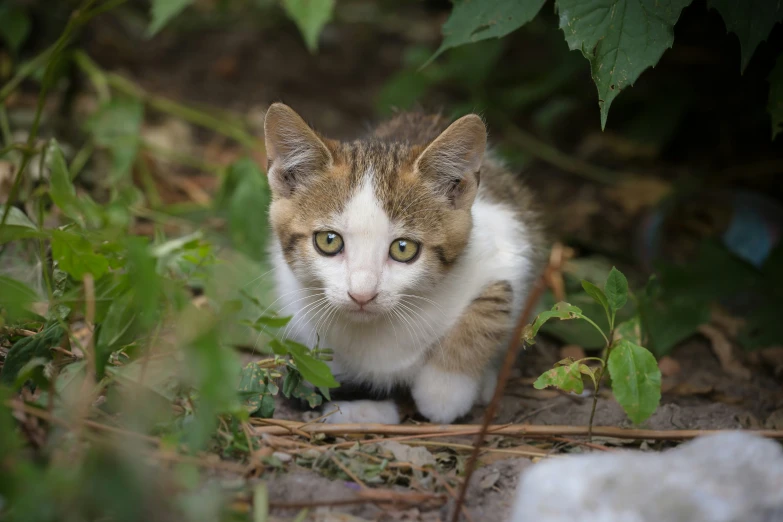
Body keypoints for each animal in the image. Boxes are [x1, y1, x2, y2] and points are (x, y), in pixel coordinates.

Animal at [264, 104, 544, 422]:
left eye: (403, 248)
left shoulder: (508, 251)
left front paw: (445, 389)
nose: (362, 294)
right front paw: (362, 404)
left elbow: (491, 307)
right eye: (328, 241)